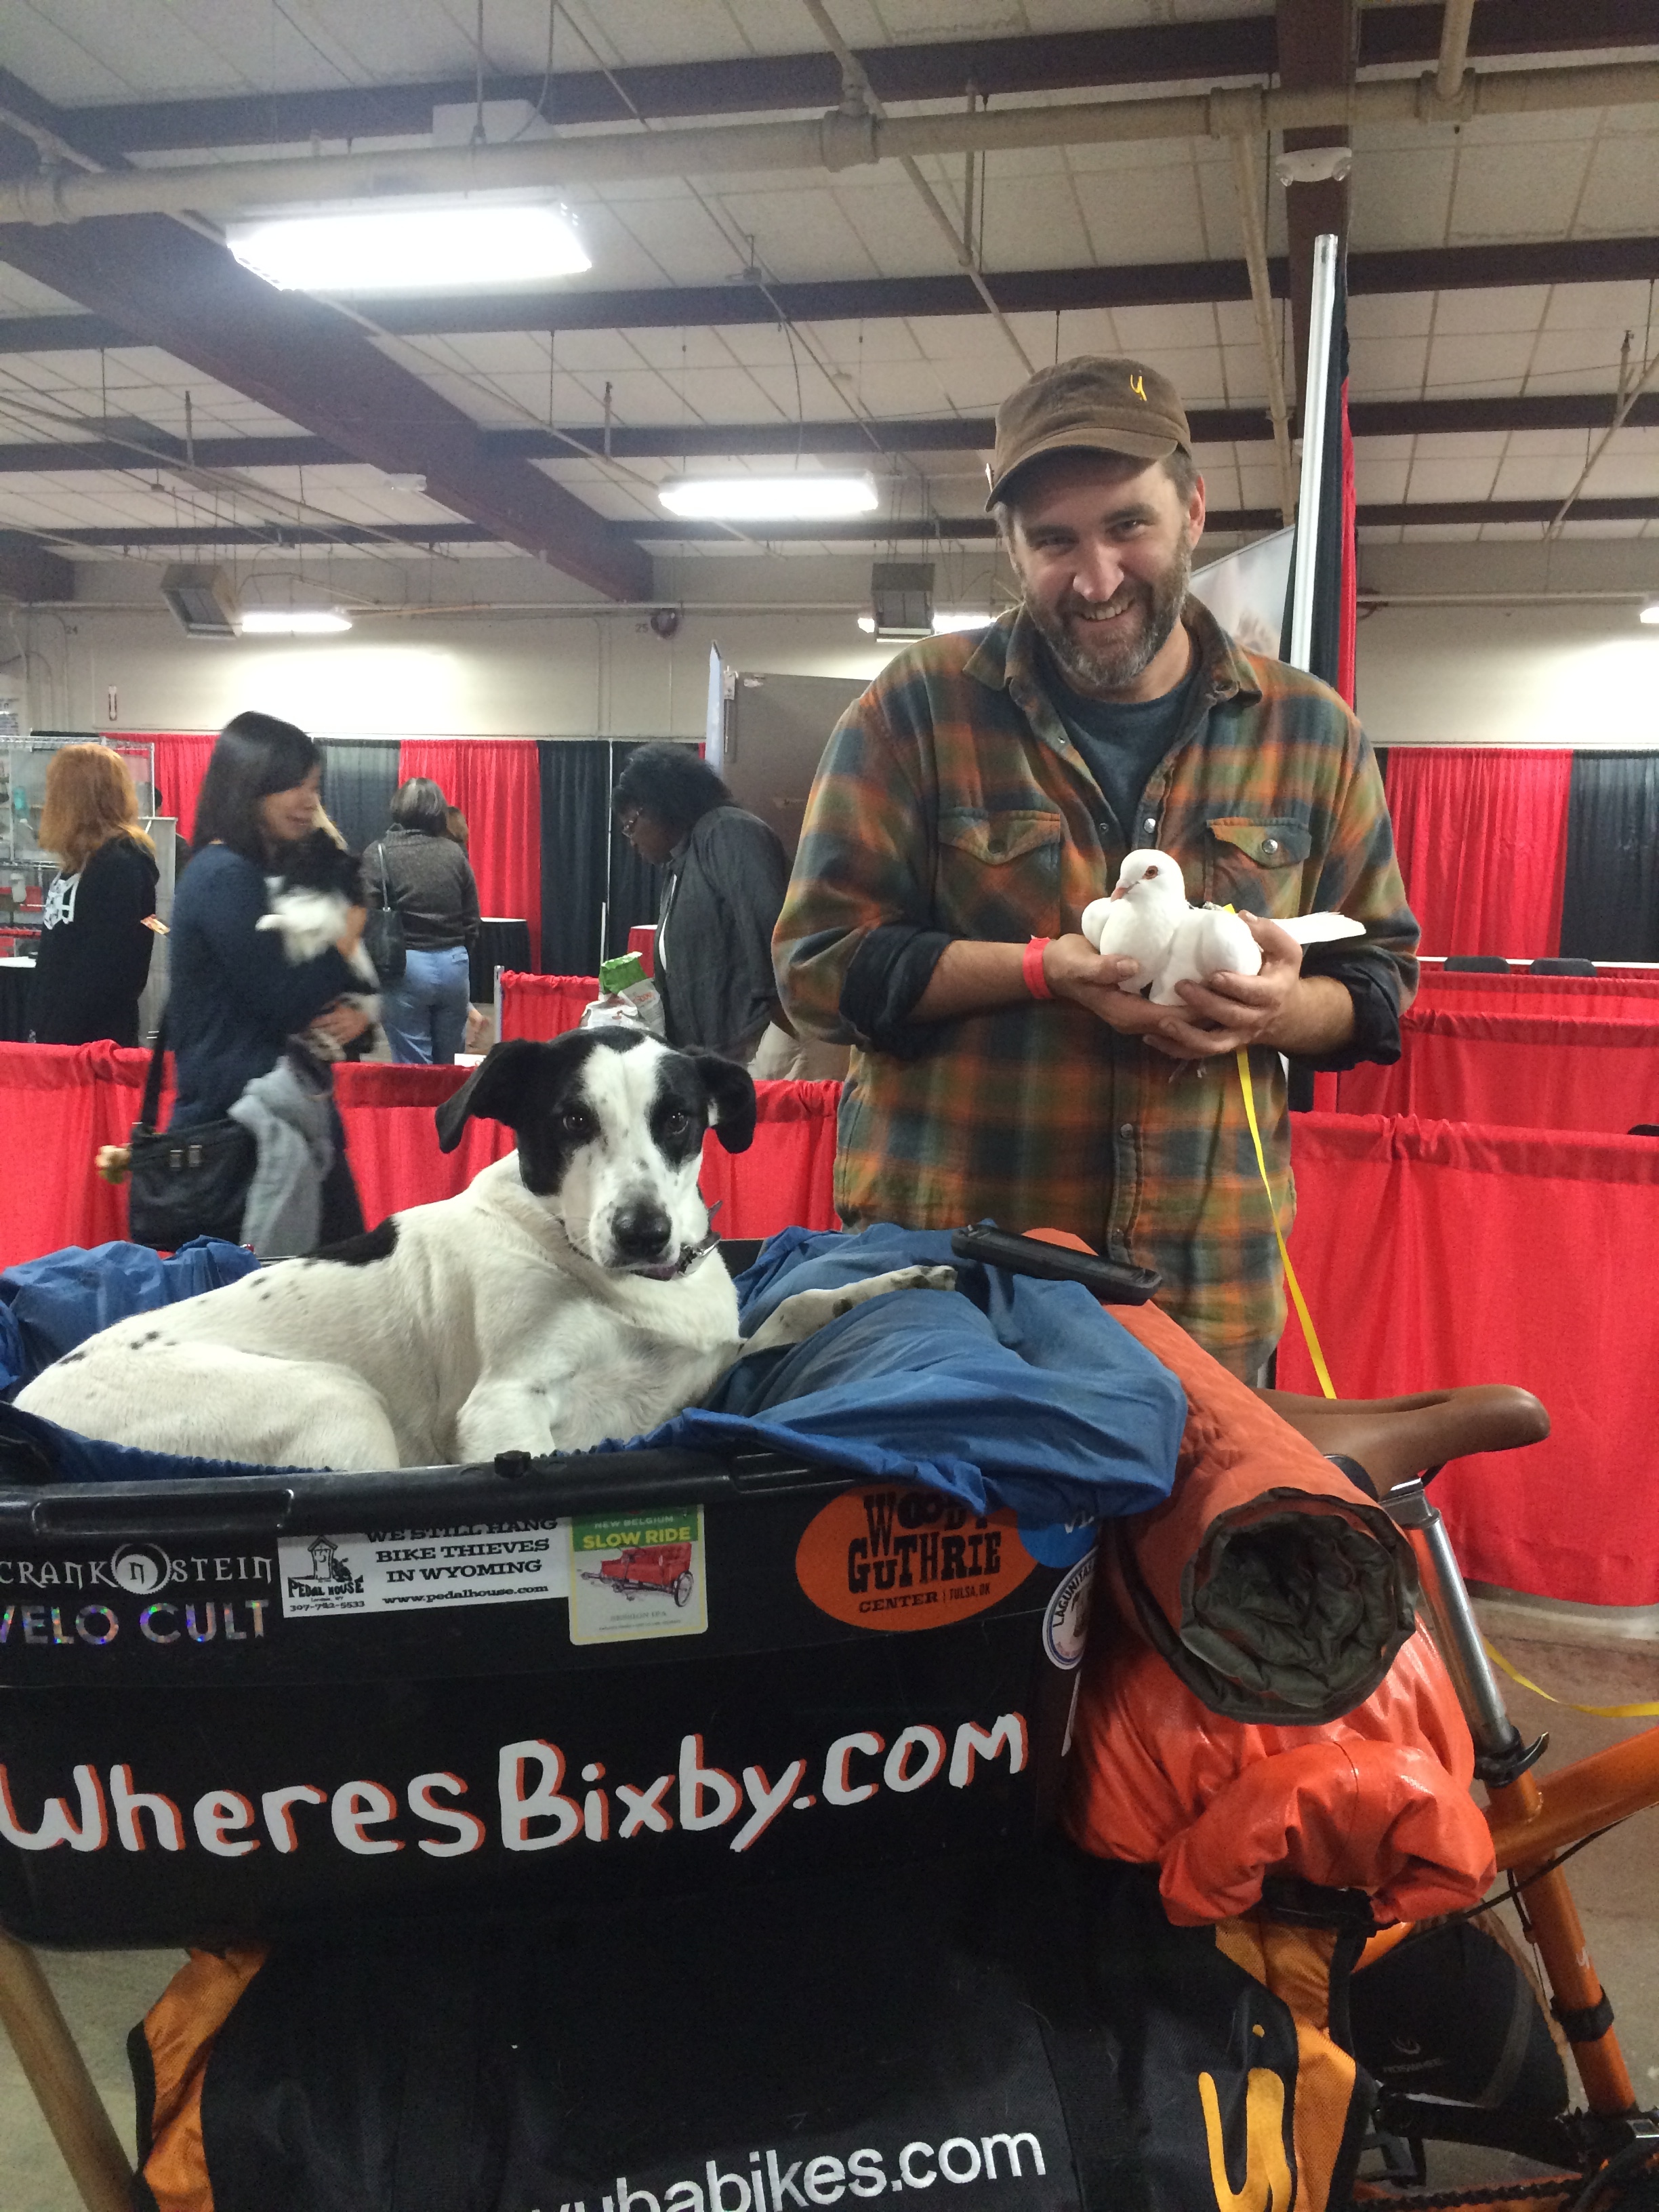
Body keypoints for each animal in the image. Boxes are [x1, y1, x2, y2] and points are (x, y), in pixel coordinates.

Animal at [18, 1030, 951, 1472]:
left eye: (679, 1119)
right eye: (571, 1120)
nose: (643, 1232)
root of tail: (25, 1409)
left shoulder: (714, 1359)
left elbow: (795, 1305)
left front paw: (898, 1278)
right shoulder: (502, 1409)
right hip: (332, 1399)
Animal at [257, 828, 383, 1060]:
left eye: (322, 847)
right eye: (327, 843)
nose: (321, 829)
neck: (316, 885)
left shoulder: (315, 928)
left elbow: (293, 921)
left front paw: (265, 922)